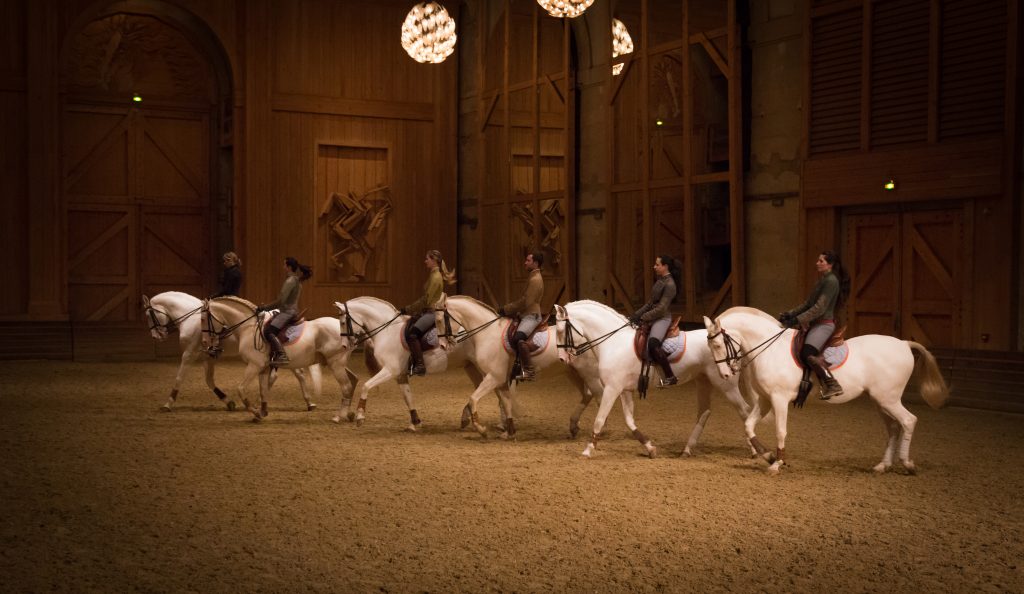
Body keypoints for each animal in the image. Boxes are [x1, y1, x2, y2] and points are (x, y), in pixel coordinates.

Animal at [140, 292, 315, 413]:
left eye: (149, 315)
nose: (157, 336)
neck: (191, 319)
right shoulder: (208, 356)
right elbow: (209, 380)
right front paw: (228, 401)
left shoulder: (190, 353)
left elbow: (180, 377)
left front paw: (168, 403)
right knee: (296, 373)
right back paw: (307, 402)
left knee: (294, 374)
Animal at [201, 294, 358, 419]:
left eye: (203, 319)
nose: (205, 342)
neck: (249, 328)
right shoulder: (263, 368)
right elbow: (263, 390)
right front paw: (262, 411)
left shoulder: (254, 365)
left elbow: (241, 389)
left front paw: (255, 412)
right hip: (335, 363)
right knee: (353, 380)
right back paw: (348, 413)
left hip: (336, 364)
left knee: (346, 386)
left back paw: (341, 415)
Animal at [557, 301, 757, 458]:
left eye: (560, 330)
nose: (562, 358)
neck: (614, 342)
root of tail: (735, 341)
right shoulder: (624, 389)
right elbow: (629, 421)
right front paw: (649, 448)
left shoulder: (612, 389)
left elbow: (599, 419)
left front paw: (588, 450)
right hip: (703, 381)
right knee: (705, 412)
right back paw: (687, 450)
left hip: (726, 385)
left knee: (744, 411)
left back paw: (755, 451)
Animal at [708, 307, 946, 473]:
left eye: (718, 345)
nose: (726, 375)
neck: (770, 349)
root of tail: (904, 344)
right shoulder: (765, 400)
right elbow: (748, 426)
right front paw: (768, 456)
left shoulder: (779, 399)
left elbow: (780, 431)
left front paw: (777, 463)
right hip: (881, 401)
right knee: (894, 428)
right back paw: (883, 466)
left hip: (889, 399)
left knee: (908, 421)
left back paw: (907, 464)